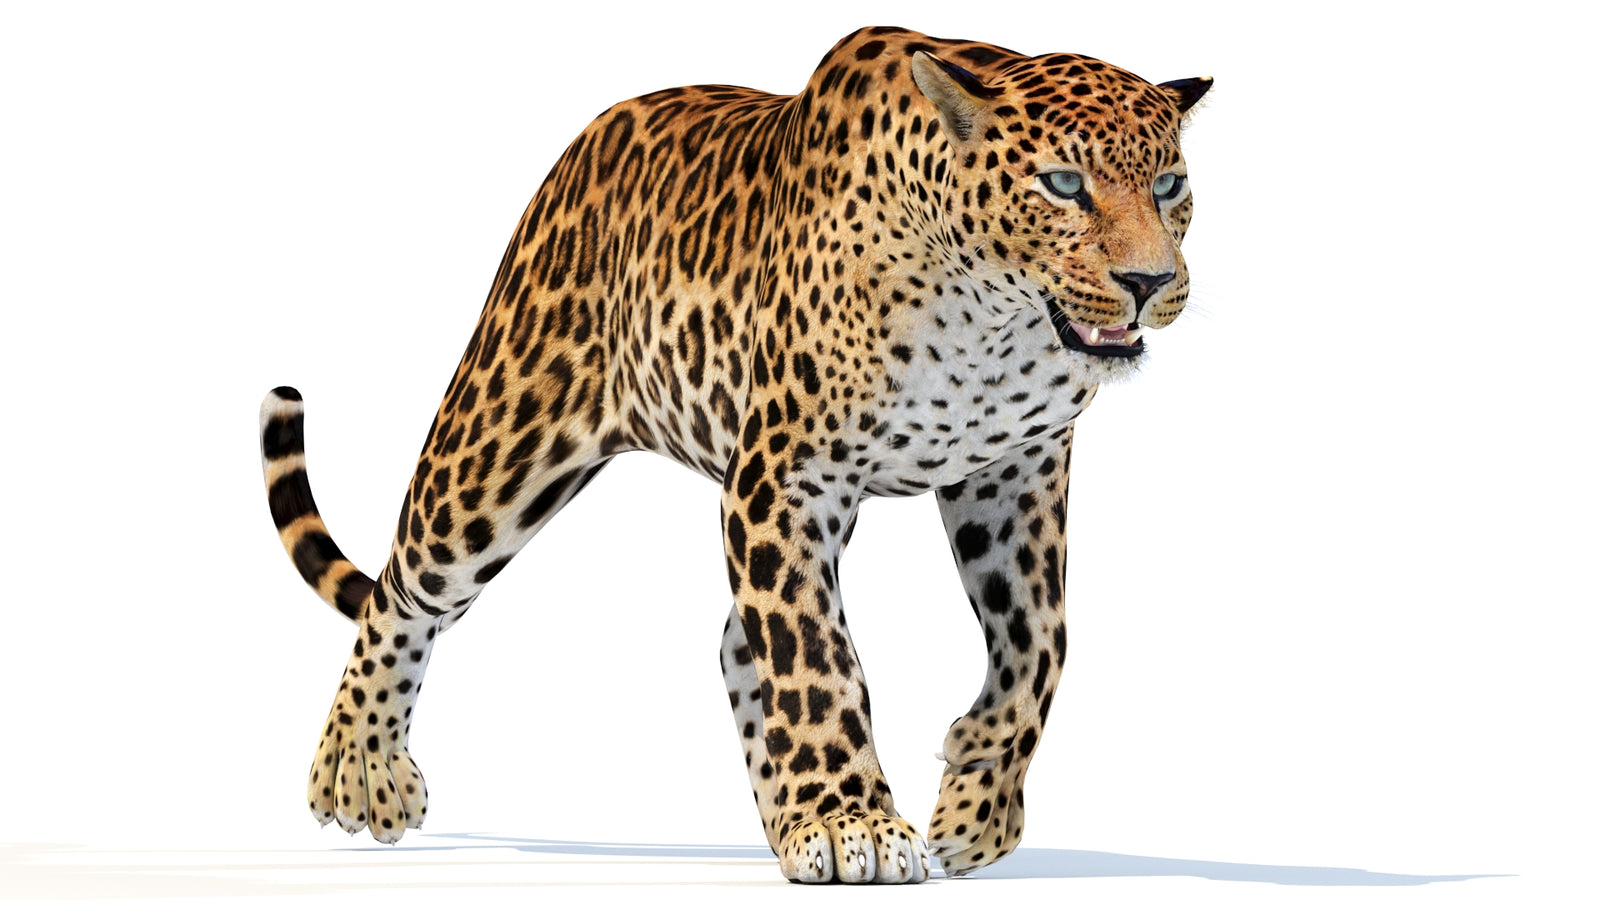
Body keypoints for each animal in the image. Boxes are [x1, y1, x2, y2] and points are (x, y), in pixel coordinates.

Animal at [258, 26, 1210, 883]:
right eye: (1063, 184)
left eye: (1170, 185)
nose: (1151, 282)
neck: (996, 321)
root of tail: (582, 146)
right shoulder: (787, 476)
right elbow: (815, 654)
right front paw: (850, 822)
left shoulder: (1012, 472)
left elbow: (1039, 640)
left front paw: (974, 795)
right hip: (503, 434)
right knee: (405, 586)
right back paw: (358, 768)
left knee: (736, 643)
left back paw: (787, 819)